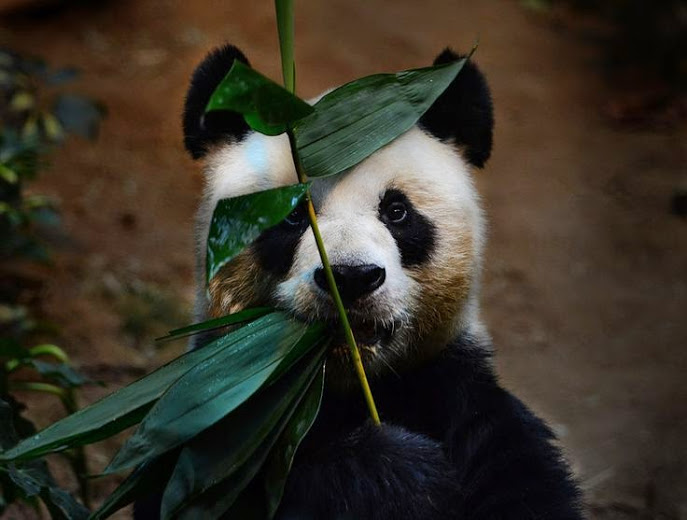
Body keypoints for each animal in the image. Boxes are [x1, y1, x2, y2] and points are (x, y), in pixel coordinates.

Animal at [137, 45, 584, 520]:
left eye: (397, 212)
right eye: (292, 215)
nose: (351, 277)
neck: (346, 387)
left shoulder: (460, 394)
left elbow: (521, 480)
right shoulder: (211, 418)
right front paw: (398, 472)